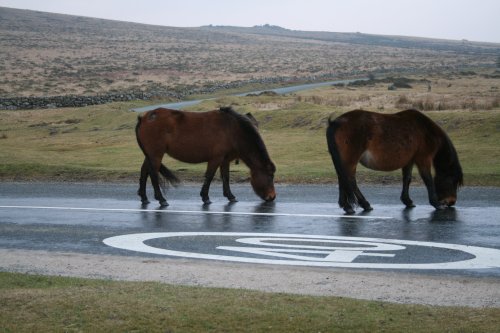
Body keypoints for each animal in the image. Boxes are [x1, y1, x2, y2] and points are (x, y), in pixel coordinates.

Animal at [136, 106, 278, 205]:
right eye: (270, 175)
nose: (272, 197)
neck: (232, 130)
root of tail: (144, 118)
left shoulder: (225, 160)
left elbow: (226, 177)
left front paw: (230, 196)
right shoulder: (216, 159)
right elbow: (209, 176)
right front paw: (205, 197)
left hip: (150, 155)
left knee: (144, 171)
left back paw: (144, 198)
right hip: (156, 155)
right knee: (153, 175)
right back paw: (161, 199)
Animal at [326, 107, 462, 214]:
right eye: (453, 181)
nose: (452, 202)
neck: (426, 131)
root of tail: (336, 122)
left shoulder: (409, 161)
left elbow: (407, 179)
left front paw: (407, 201)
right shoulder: (423, 159)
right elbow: (428, 180)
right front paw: (436, 204)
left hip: (343, 161)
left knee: (343, 179)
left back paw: (347, 205)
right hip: (350, 160)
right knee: (350, 180)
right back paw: (361, 204)